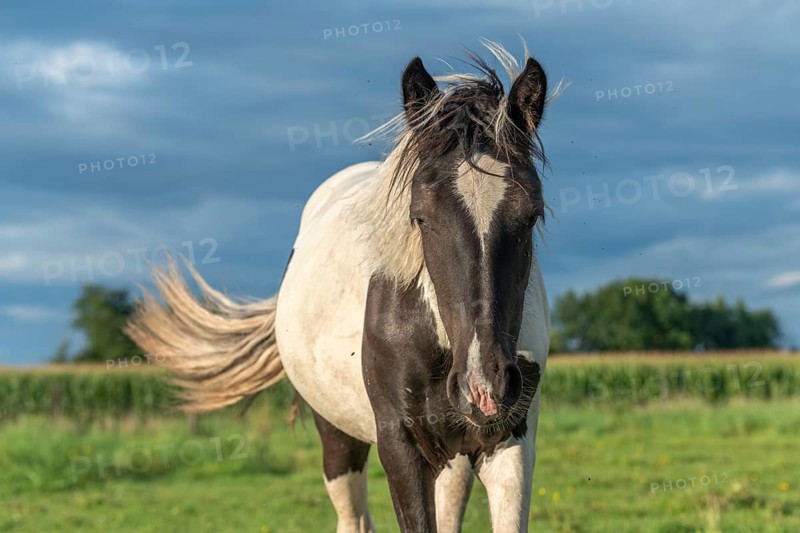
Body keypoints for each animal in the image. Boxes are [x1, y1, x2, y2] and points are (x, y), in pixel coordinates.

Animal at [127, 40, 552, 533]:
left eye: (531, 215)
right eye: (420, 216)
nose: (485, 386)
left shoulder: (511, 443)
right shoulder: (401, 446)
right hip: (337, 436)